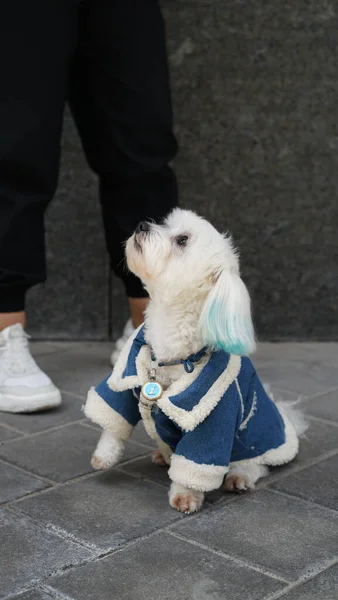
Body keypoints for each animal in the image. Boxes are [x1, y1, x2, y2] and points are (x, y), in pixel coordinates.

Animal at [84, 209, 304, 512]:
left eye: (182, 240)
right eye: (165, 224)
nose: (141, 225)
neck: (169, 354)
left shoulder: (213, 417)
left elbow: (196, 463)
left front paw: (185, 496)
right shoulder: (125, 378)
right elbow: (113, 421)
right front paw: (103, 455)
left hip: (255, 438)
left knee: (255, 464)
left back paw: (239, 477)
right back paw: (163, 455)